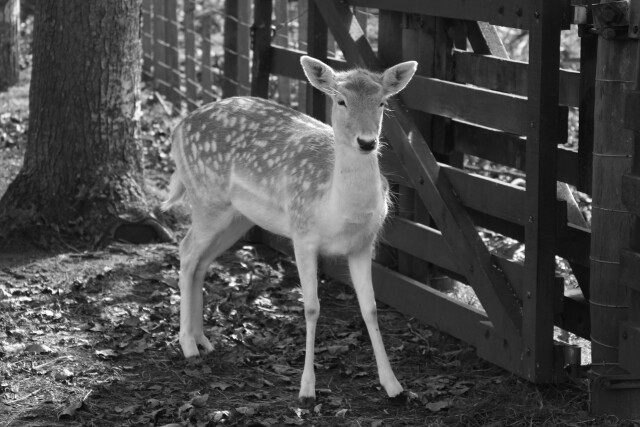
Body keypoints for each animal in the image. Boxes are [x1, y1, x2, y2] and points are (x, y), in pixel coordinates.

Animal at [162, 55, 417, 404]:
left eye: (382, 102)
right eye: (340, 100)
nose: (367, 142)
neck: (337, 210)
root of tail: (176, 131)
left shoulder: (363, 245)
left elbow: (371, 309)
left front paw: (393, 385)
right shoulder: (302, 234)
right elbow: (311, 308)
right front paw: (307, 389)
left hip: (237, 217)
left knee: (202, 261)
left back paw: (203, 338)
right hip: (206, 198)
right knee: (186, 251)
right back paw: (188, 344)